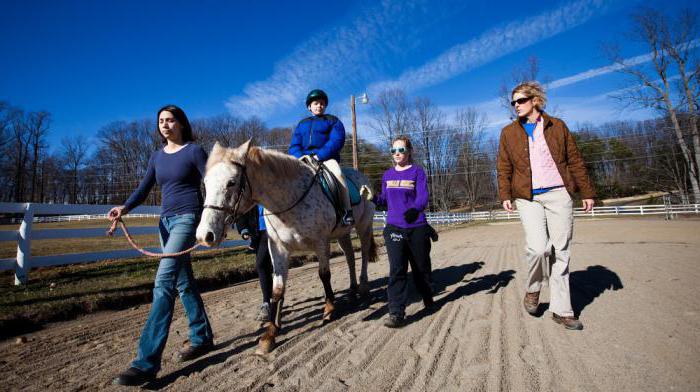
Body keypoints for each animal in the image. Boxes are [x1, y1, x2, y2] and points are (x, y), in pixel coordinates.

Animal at [197, 142, 378, 356]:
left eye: (231, 182)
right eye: (205, 183)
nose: (204, 236)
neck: (289, 200)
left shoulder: (321, 243)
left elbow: (324, 275)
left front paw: (329, 310)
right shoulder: (278, 249)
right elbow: (277, 290)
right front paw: (270, 334)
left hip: (363, 226)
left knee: (364, 253)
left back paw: (363, 286)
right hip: (342, 234)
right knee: (350, 257)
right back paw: (352, 290)